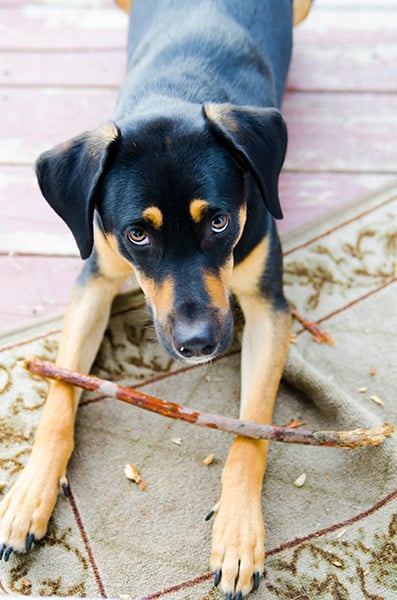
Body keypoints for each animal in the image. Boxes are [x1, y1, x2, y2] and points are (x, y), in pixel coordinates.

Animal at [0, 0, 312, 596]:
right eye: (137, 234)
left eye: (219, 221)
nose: (198, 343)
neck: (175, 90)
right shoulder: (94, 277)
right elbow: (59, 395)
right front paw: (29, 493)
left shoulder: (268, 306)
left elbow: (251, 429)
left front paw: (239, 530)